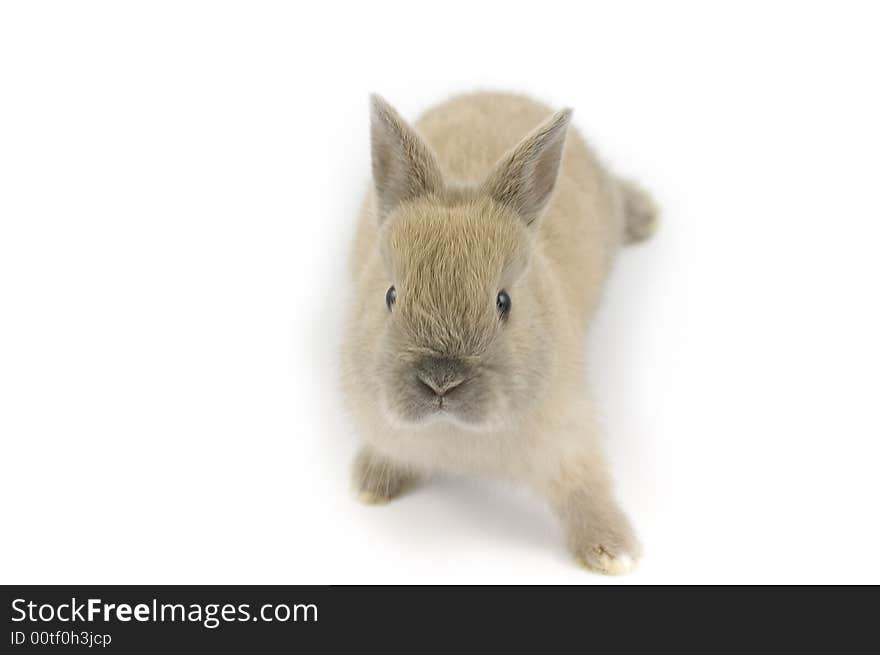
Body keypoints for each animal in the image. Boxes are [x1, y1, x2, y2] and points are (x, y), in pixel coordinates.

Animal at [340, 91, 656, 576]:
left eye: (503, 302)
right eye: (391, 295)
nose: (441, 381)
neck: (455, 432)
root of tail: (502, 92)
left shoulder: (568, 436)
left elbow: (585, 486)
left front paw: (612, 552)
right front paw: (372, 483)